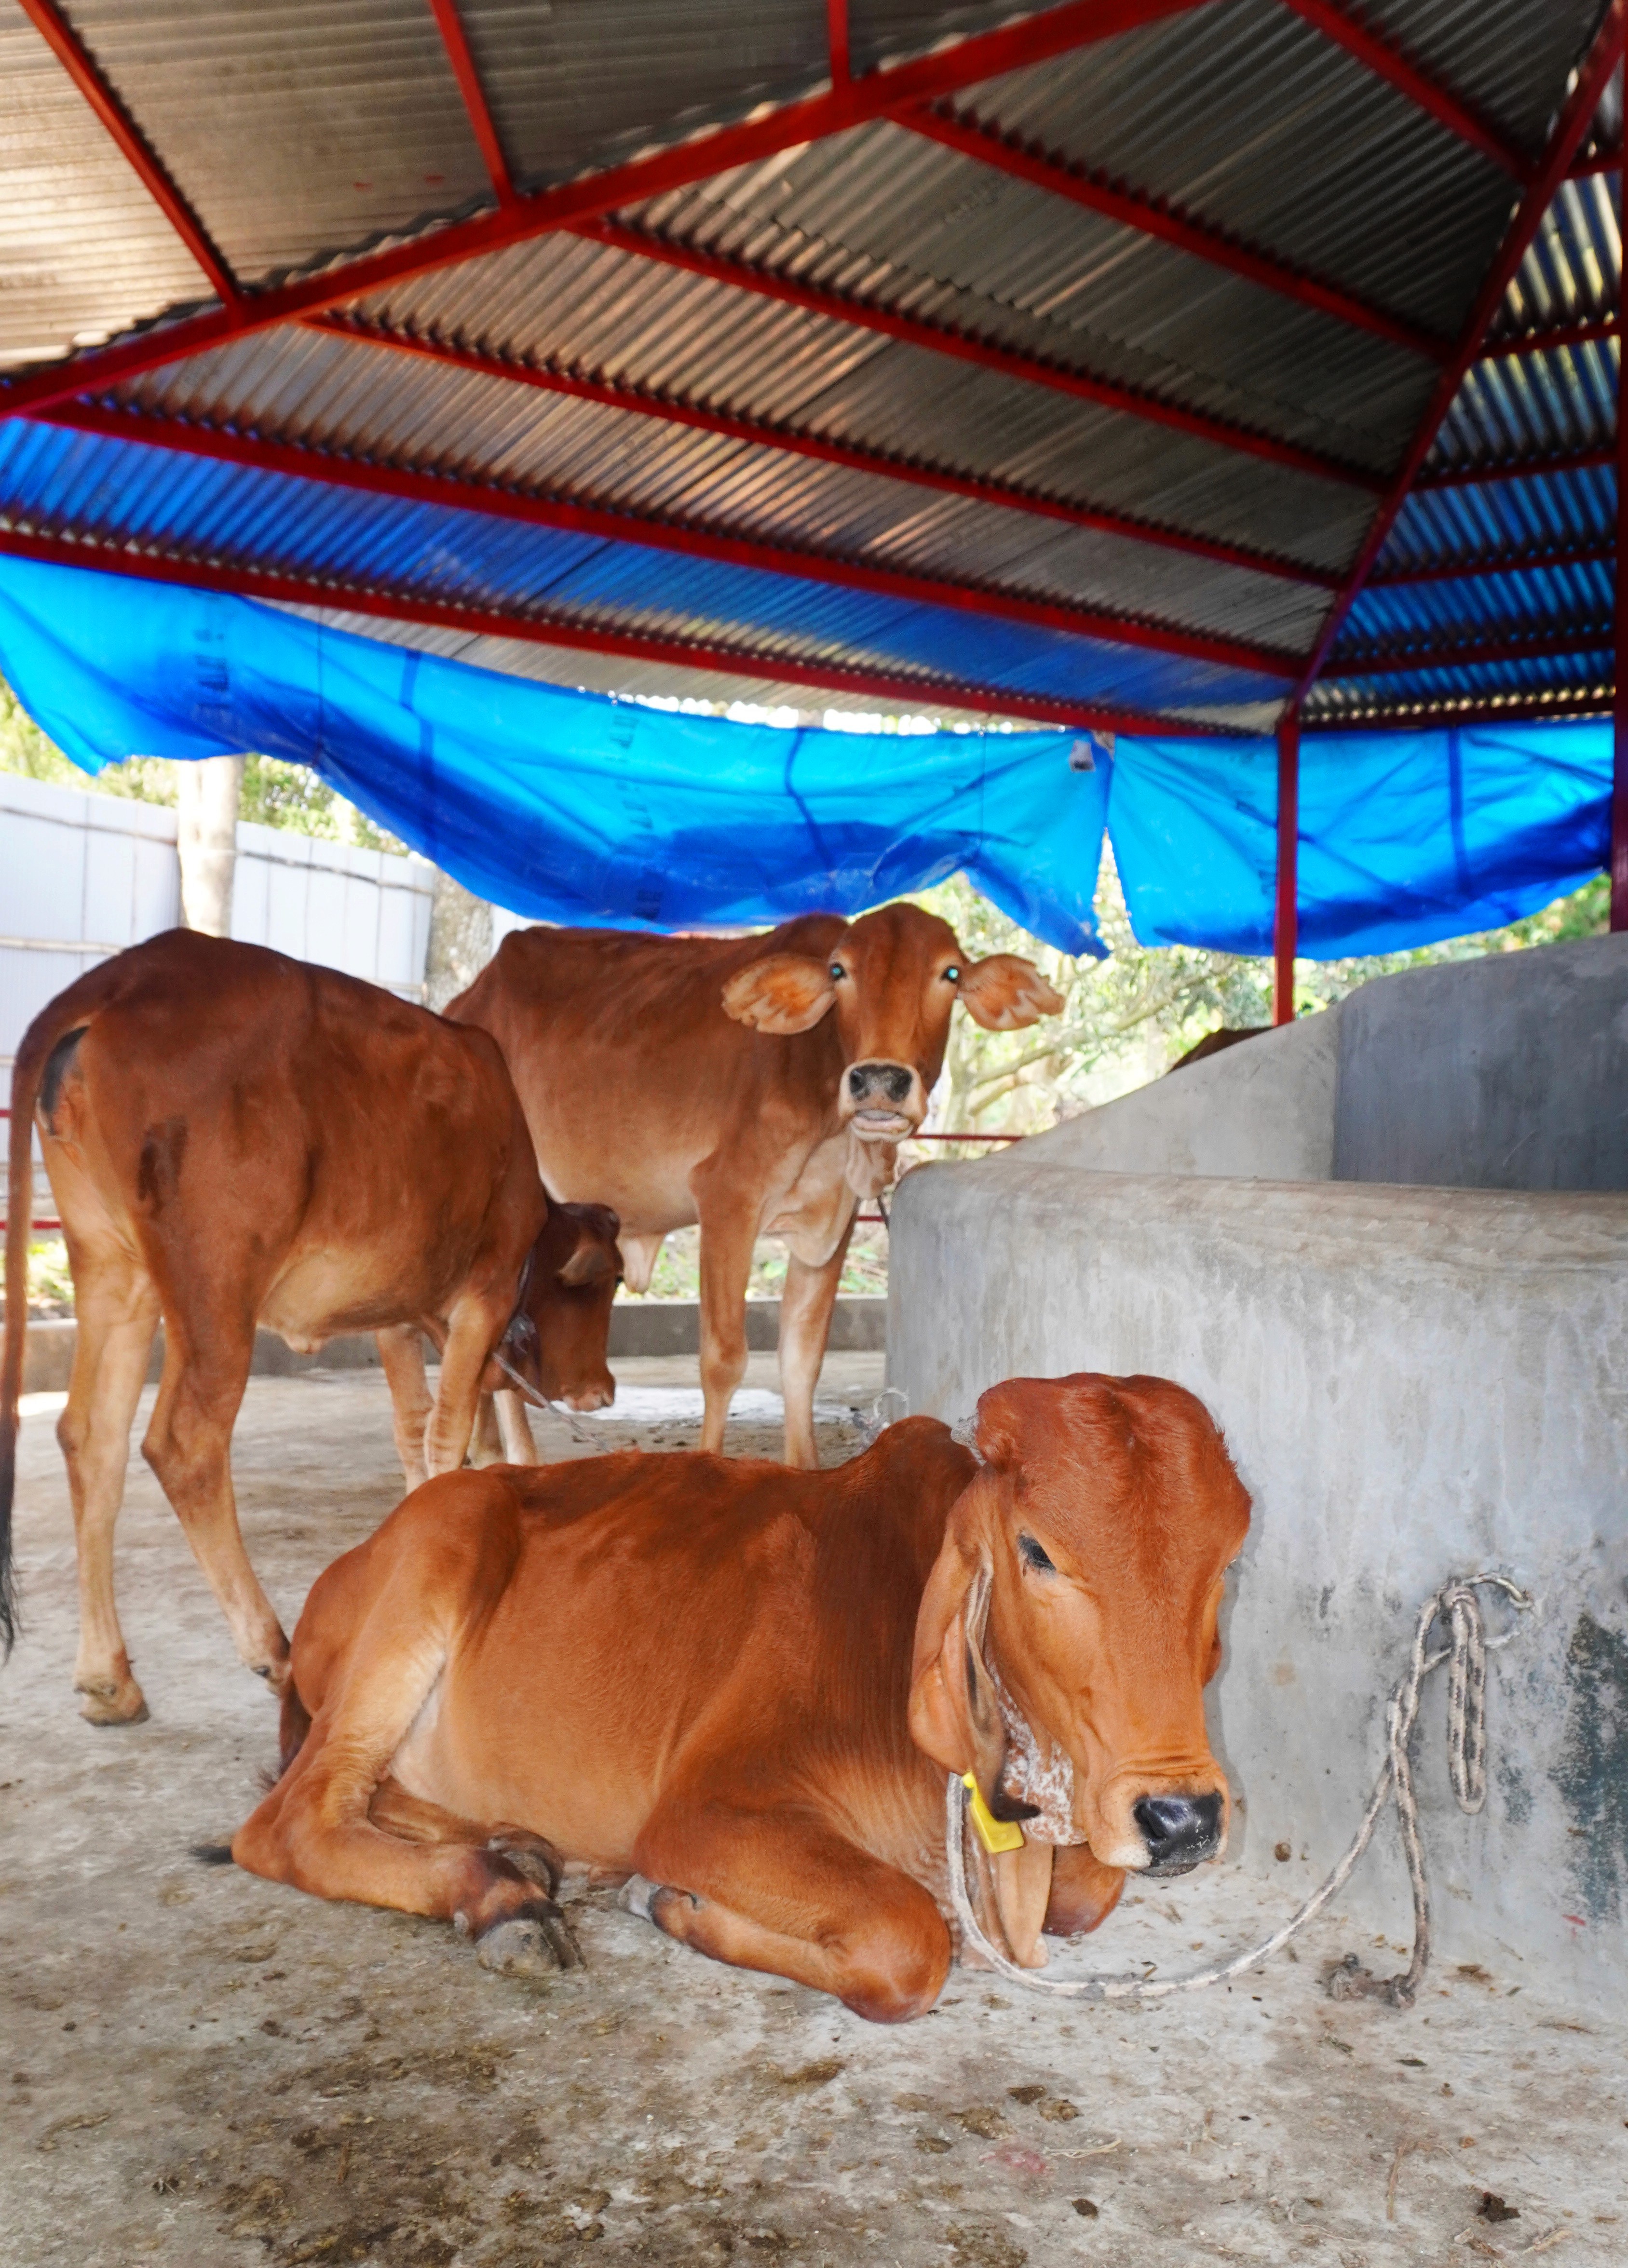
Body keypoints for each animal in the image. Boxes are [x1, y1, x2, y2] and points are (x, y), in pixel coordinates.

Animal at [0, 931, 622, 1725]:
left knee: (91, 1439)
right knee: (183, 1445)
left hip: (113, 1268)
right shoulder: (481, 1295)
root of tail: (120, 979)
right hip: (216, 1290)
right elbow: (447, 1433)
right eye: (608, 1282)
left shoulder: (398, 1314)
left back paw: (108, 1678)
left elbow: (415, 1431)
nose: (604, 1390)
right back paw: (273, 1651)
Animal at [229, 1372, 1251, 2022]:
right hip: (437, 1552)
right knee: (292, 1821)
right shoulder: (705, 1809)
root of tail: (354, 1556)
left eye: (1229, 1556)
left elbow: (1086, 1895)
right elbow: (910, 1940)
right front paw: (672, 1904)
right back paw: (502, 1896)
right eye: (1037, 1549)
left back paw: (518, 1848)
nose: (1182, 1817)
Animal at [439, 905, 1063, 1467]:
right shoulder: (726, 1202)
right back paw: (515, 1459)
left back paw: (487, 1452)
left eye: (950, 973)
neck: (835, 1134)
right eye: (839, 971)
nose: (879, 1082)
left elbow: (802, 1360)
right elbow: (723, 1359)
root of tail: (463, 1003)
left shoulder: (832, 1226)